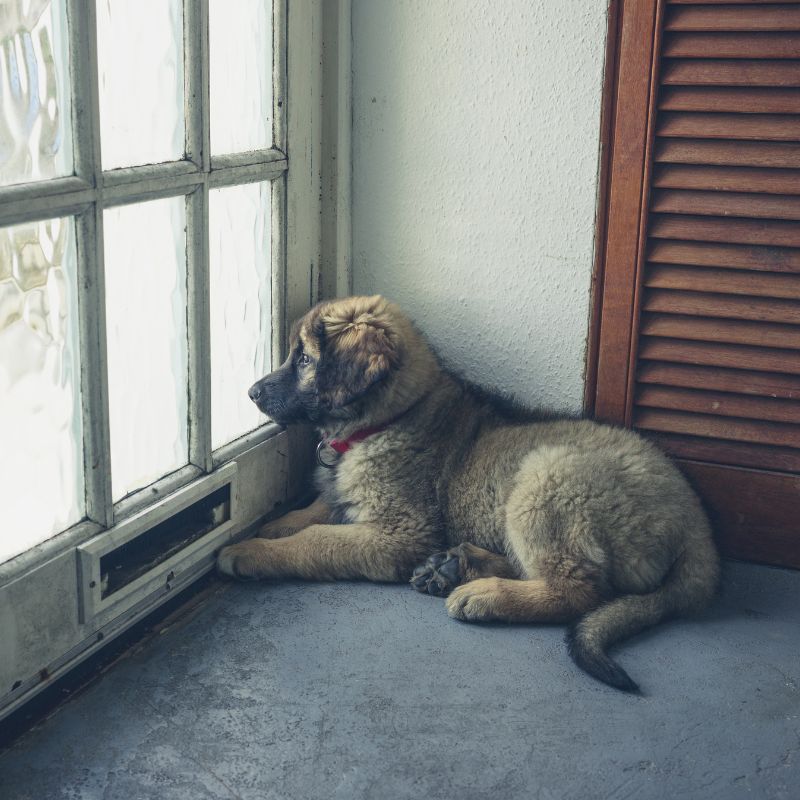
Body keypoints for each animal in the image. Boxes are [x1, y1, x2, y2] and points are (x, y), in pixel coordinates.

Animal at [217, 296, 720, 692]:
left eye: (304, 360)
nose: (251, 392)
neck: (390, 418)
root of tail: (695, 521)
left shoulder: (401, 531)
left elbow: (317, 539)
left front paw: (250, 551)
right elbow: (316, 509)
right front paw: (275, 525)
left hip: (546, 481)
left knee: (579, 590)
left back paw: (483, 593)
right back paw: (455, 566)